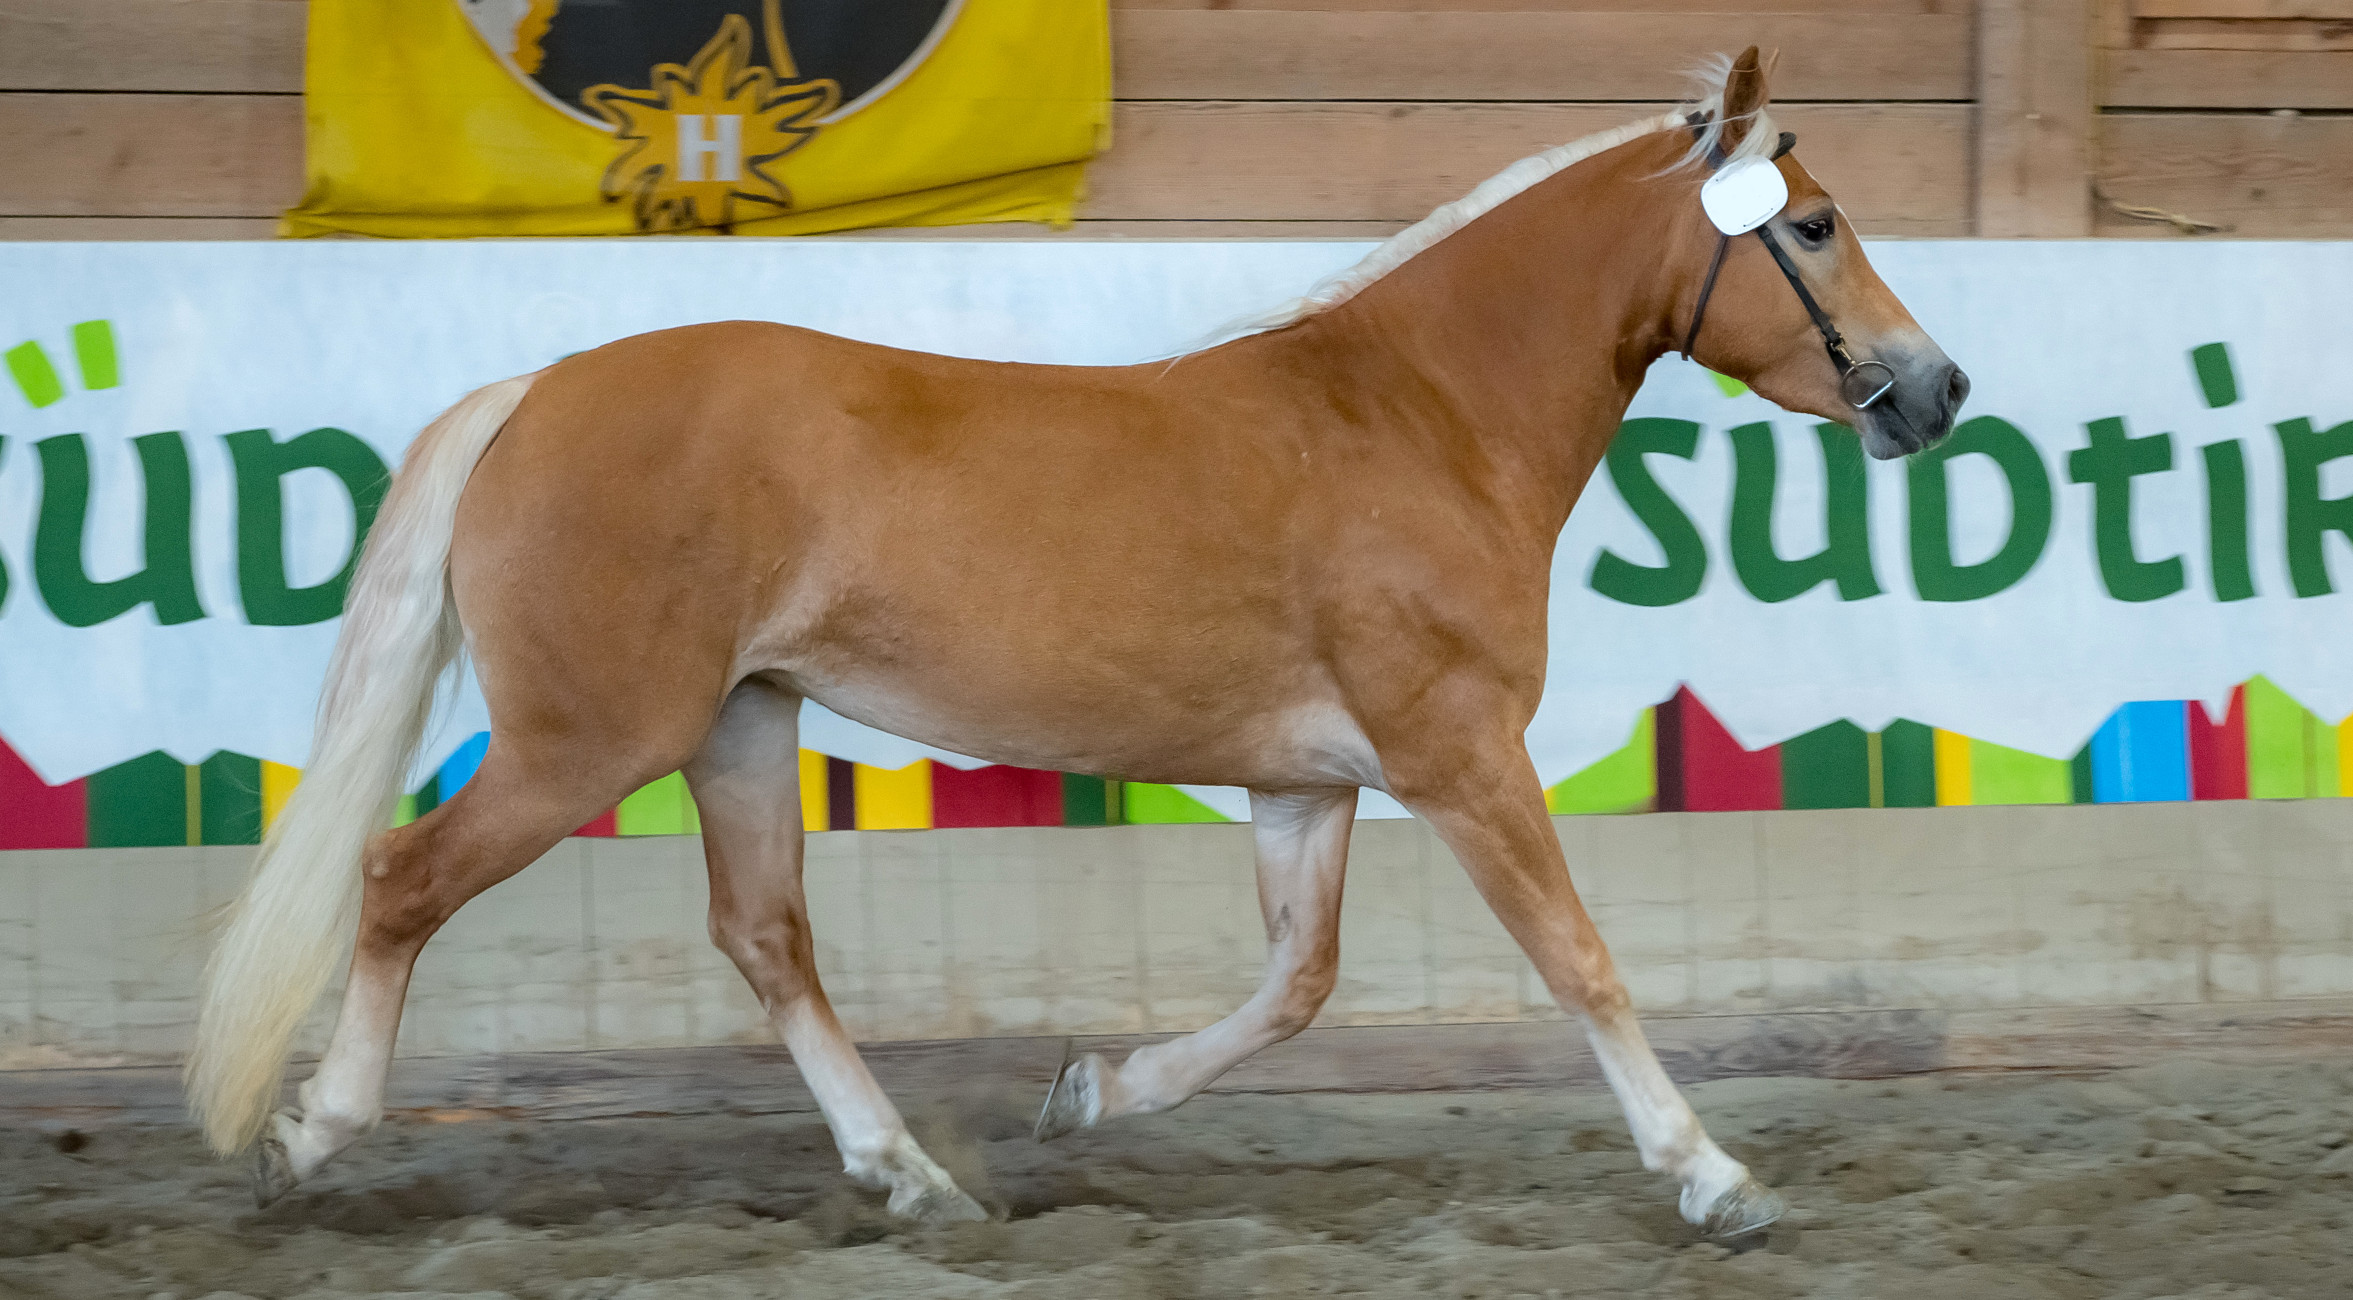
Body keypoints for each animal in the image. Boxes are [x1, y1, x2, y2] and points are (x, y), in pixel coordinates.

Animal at [187, 48, 1965, 1240]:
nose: (1934, 392)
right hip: (586, 743)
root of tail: (535, 391)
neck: (1413, 417)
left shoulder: (1310, 785)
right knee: (399, 883)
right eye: (1812, 226)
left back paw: (910, 1175)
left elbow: (1297, 986)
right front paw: (1715, 1179)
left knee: (766, 939)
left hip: (741, 725)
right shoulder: (1459, 756)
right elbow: (1579, 961)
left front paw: (1094, 1092)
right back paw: (311, 1136)